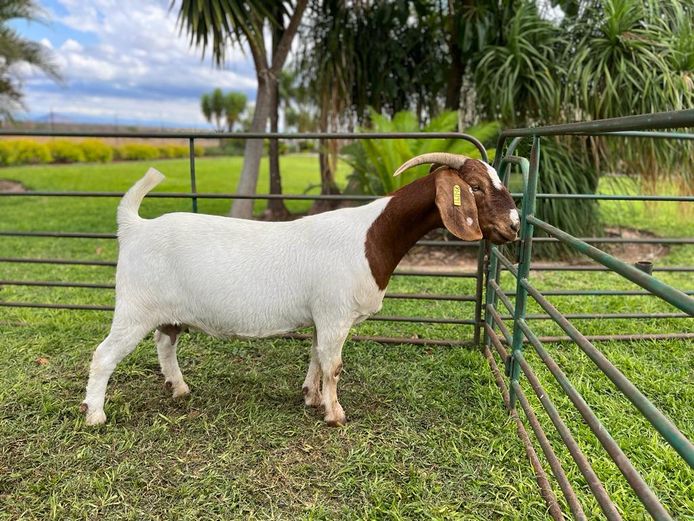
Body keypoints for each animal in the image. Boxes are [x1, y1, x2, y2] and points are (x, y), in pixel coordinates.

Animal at [81, 153, 520, 426]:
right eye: (475, 187)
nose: (514, 226)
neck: (370, 236)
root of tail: (134, 227)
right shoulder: (336, 314)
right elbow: (333, 364)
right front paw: (335, 414)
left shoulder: (321, 316)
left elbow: (315, 356)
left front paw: (311, 396)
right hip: (134, 308)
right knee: (103, 355)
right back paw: (95, 415)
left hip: (167, 313)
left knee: (165, 343)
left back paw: (179, 389)